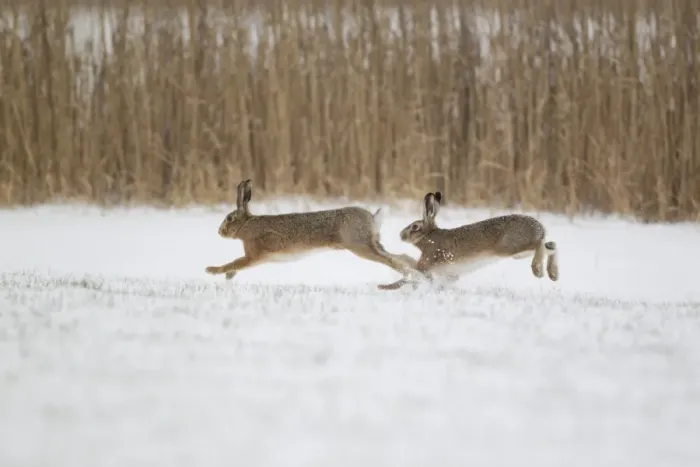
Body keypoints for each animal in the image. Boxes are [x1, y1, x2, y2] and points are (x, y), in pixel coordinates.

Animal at [205, 179, 418, 285]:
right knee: (400, 256)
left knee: (392, 261)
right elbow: (237, 265)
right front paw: (228, 277)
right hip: (370, 244)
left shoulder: (255, 254)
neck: (246, 225)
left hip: (359, 245)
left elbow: (235, 263)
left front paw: (212, 270)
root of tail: (372, 218)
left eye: (229, 219)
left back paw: (408, 276)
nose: (220, 232)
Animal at [378, 191, 559, 290]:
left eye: (415, 227)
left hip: (511, 246)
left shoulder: (426, 262)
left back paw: (538, 271)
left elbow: (409, 276)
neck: (429, 236)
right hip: (520, 253)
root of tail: (539, 227)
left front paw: (384, 287)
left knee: (540, 245)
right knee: (551, 245)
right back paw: (553, 274)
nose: (401, 235)